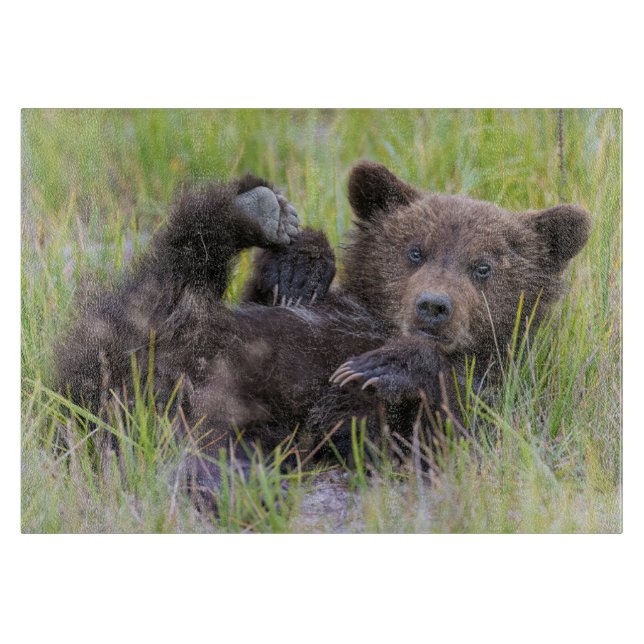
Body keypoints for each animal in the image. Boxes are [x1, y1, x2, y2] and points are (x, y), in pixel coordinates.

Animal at [55, 161, 591, 499]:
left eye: (483, 266)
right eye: (415, 250)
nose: (433, 306)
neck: (376, 320)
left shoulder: (496, 391)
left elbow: (438, 434)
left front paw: (382, 366)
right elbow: (277, 293)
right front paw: (301, 264)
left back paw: (232, 484)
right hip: (138, 342)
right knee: (166, 277)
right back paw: (253, 207)